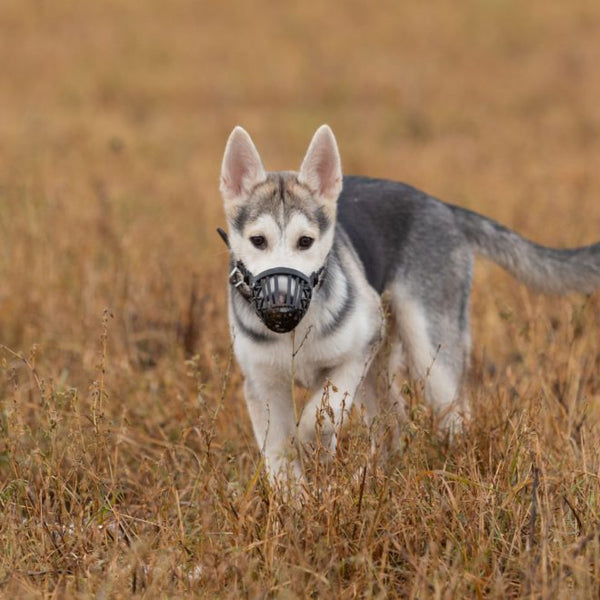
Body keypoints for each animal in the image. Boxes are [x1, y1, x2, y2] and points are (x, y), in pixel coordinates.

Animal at [218, 124, 600, 480]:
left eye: (305, 242)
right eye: (258, 240)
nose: (281, 303)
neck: (296, 333)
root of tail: (441, 206)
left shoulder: (360, 349)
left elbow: (321, 416)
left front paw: (313, 445)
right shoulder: (263, 385)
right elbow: (281, 458)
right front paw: (296, 500)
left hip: (429, 354)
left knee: (453, 418)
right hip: (381, 369)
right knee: (393, 425)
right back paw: (370, 480)